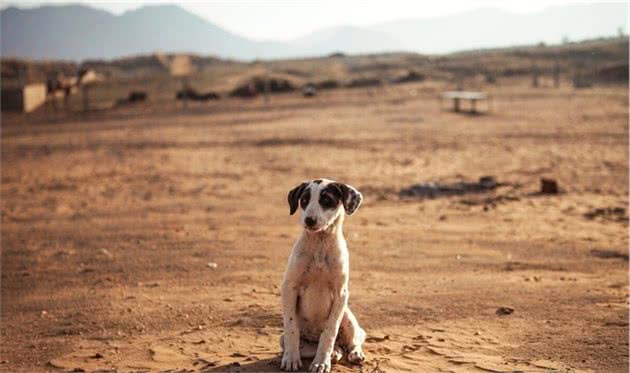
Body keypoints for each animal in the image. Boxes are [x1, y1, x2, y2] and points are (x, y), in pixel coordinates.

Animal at [280, 179, 366, 370]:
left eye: (326, 200)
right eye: (304, 200)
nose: (309, 220)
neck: (320, 245)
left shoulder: (341, 294)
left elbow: (329, 332)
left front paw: (321, 362)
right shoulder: (289, 288)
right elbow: (291, 328)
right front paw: (291, 359)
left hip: (347, 316)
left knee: (352, 341)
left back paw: (354, 354)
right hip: (284, 339)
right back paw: (334, 353)